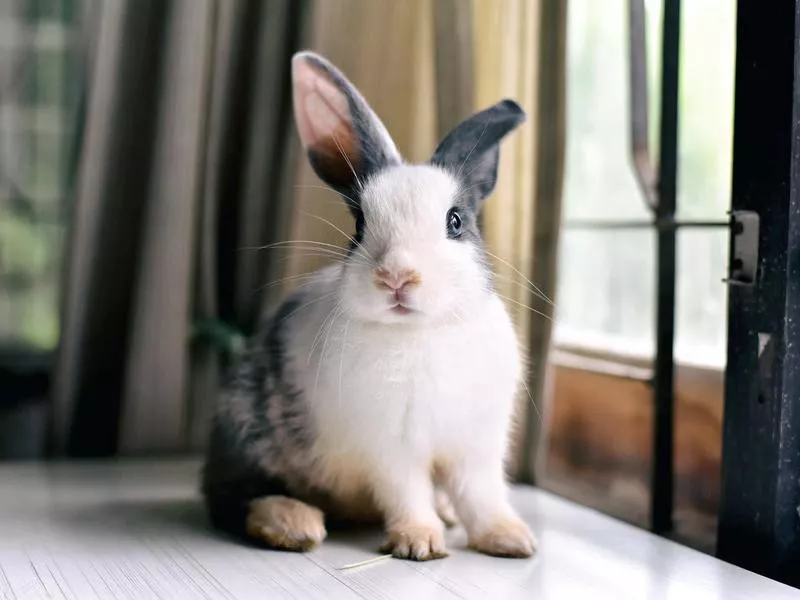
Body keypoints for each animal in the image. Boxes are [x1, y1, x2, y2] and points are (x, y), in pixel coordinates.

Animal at [200, 49, 536, 560]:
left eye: (455, 221)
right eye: (359, 225)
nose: (396, 277)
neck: (420, 332)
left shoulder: (476, 447)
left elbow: (482, 495)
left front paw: (512, 539)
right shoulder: (391, 449)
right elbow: (407, 493)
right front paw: (419, 543)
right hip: (245, 430)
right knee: (231, 497)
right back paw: (293, 523)